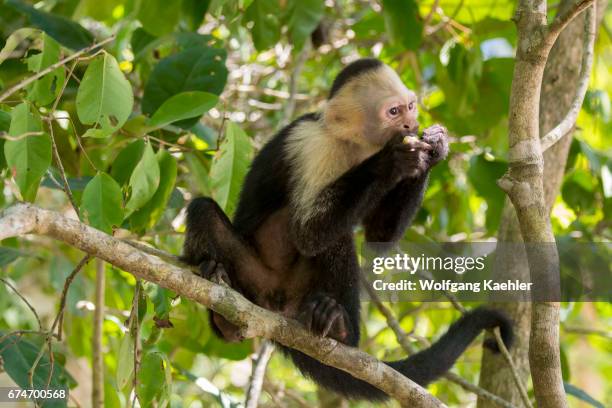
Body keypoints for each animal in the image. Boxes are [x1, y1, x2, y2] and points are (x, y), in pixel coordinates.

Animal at [180, 57, 512, 402]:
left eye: (410, 107)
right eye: (394, 112)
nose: (410, 125)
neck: (352, 143)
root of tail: (275, 307)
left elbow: (379, 239)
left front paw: (435, 148)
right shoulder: (313, 146)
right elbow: (309, 232)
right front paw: (391, 161)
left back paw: (336, 326)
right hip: (254, 278)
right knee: (208, 210)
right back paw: (225, 304)